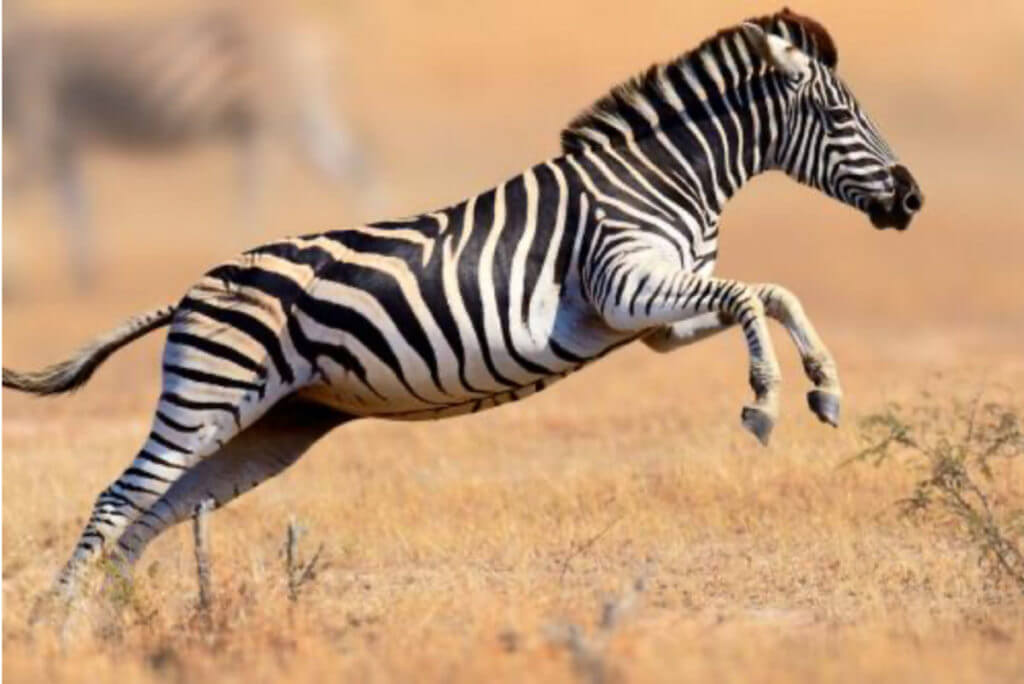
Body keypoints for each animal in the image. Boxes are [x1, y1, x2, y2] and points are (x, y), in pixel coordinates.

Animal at [3, 4, 366, 285]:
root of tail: (314, 39)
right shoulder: (62, 145)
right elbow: (74, 207)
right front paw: (86, 274)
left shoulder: (37, 132)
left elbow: (16, 196)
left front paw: (14, 279)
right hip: (300, 118)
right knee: (356, 165)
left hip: (269, 122)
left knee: (256, 190)